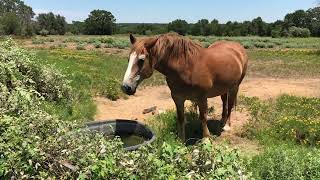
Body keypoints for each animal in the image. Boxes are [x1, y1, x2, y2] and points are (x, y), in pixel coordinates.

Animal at [121, 33, 249, 141]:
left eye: (141, 60)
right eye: (128, 59)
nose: (126, 87)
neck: (187, 67)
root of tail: (238, 47)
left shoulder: (202, 98)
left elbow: (203, 117)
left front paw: (206, 139)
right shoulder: (178, 98)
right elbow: (181, 119)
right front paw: (181, 140)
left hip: (234, 87)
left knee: (230, 104)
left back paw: (227, 126)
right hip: (224, 88)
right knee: (224, 102)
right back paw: (222, 121)